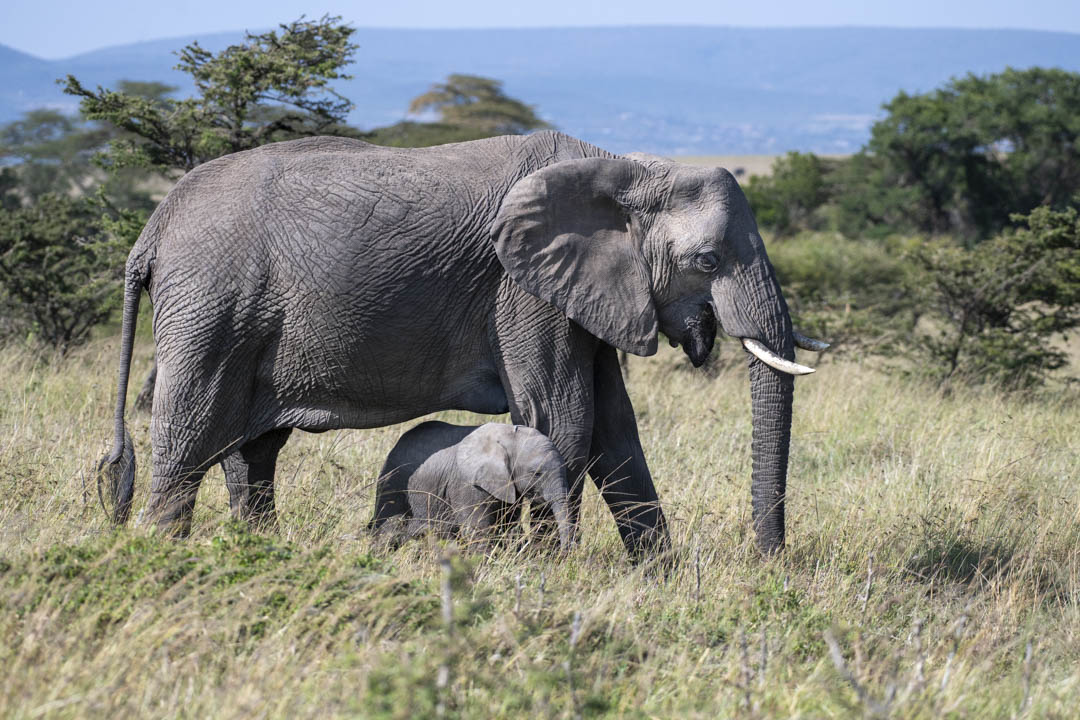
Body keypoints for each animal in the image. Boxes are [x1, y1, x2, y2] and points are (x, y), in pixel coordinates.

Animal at [370, 421, 573, 551]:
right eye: (536, 473)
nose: (563, 553)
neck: (509, 438)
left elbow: (506, 525)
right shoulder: (467, 484)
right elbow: (477, 530)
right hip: (394, 482)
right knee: (390, 531)